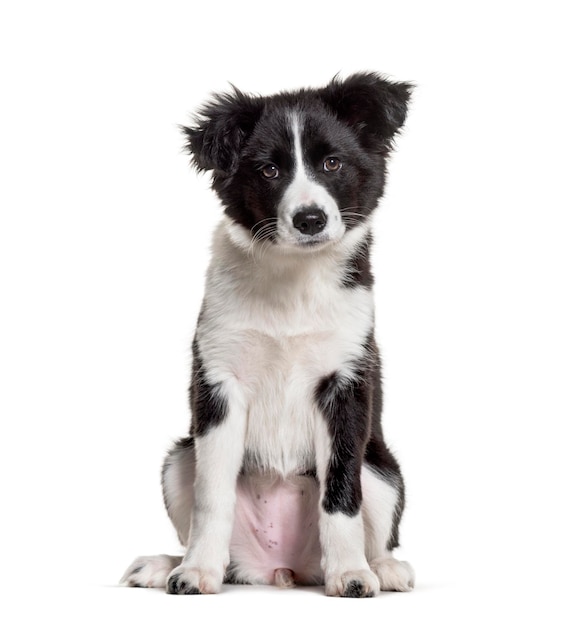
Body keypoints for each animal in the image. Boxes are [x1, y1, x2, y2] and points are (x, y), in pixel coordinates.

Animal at [121, 72, 418, 596]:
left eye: (332, 162)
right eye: (269, 171)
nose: (310, 219)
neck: (293, 277)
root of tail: (285, 570)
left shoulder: (345, 384)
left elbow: (341, 492)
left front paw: (351, 573)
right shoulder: (219, 384)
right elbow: (211, 496)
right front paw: (196, 571)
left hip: (384, 470)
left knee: (373, 516)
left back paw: (381, 567)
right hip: (179, 456)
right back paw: (167, 564)